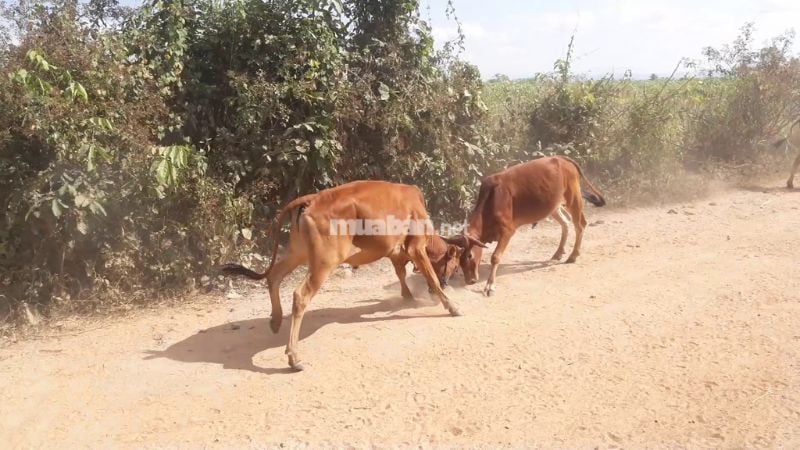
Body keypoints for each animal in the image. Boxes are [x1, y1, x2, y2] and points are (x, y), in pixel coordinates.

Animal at [219, 181, 460, 370]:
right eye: (455, 264)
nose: (451, 281)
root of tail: (313, 198)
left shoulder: (394, 251)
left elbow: (401, 273)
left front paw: (408, 297)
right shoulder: (416, 247)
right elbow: (431, 277)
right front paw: (451, 306)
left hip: (298, 252)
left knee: (274, 276)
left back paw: (276, 320)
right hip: (325, 261)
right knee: (300, 295)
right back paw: (294, 357)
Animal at [444, 156, 608, 298]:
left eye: (470, 255)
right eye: (459, 258)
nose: (470, 281)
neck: (490, 202)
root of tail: (562, 158)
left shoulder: (508, 231)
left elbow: (495, 257)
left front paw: (490, 286)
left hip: (573, 198)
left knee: (580, 225)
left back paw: (573, 255)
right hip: (553, 206)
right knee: (565, 223)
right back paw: (558, 253)